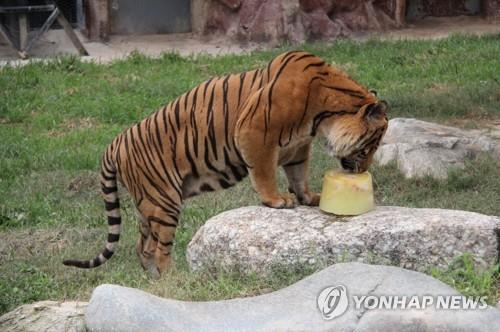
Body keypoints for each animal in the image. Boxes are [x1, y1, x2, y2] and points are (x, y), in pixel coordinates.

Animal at [62, 50, 388, 278]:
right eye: (371, 146)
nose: (362, 171)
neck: (324, 112)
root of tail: (114, 143)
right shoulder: (254, 132)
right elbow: (265, 172)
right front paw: (277, 201)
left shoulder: (297, 148)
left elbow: (298, 175)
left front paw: (308, 197)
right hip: (163, 202)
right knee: (158, 249)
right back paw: (173, 277)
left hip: (147, 205)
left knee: (141, 247)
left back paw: (153, 279)